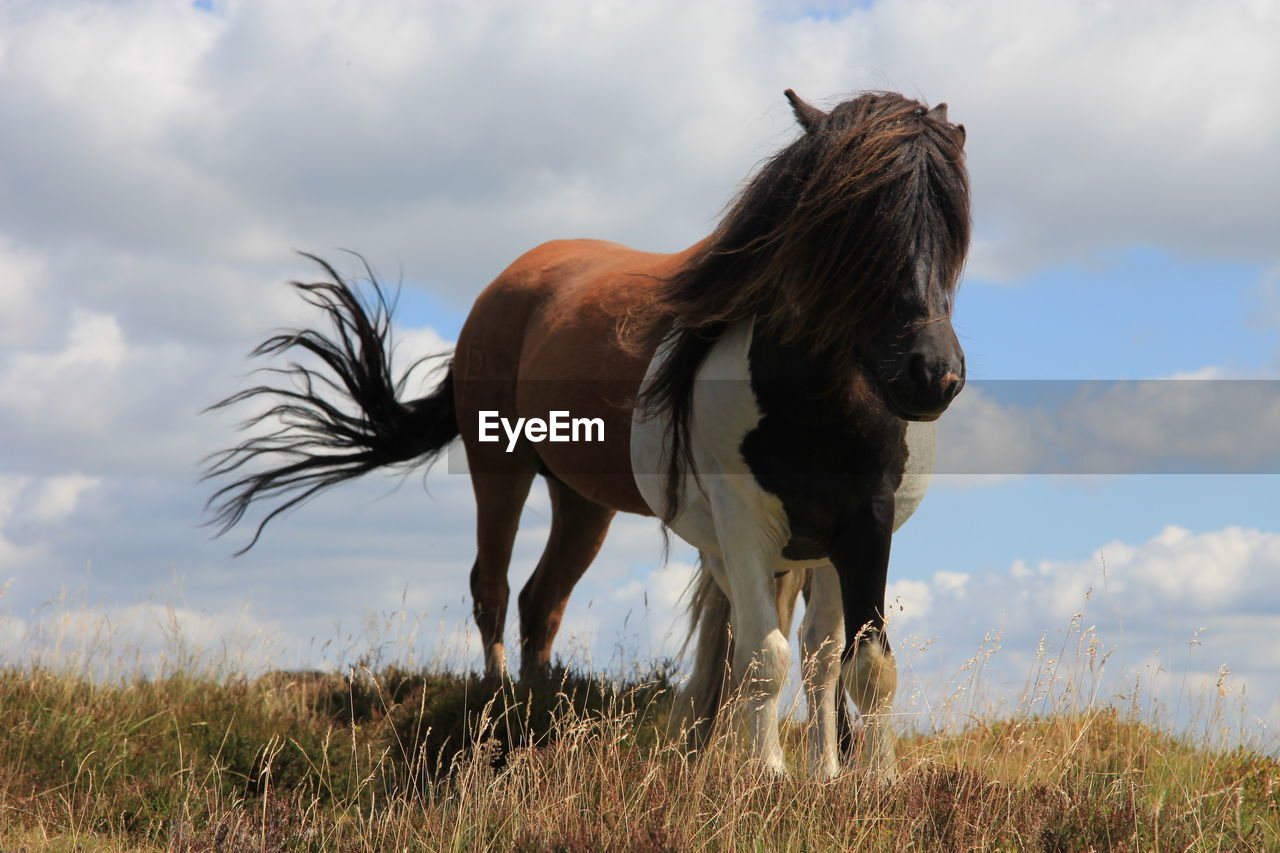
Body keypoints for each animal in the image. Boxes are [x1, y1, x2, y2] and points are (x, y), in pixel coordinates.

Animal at [207, 89, 967, 773]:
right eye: (853, 223)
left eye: (954, 227)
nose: (931, 374)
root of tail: (507, 283)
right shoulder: (746, 519)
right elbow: (764, 655)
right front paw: (767, 776)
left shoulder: (860, 524)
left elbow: (851, 662)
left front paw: (850, 781)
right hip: (501, 468)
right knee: (493, 587)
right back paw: (501, 707)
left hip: (584, 502)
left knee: (545, 600)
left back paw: (545, 709)